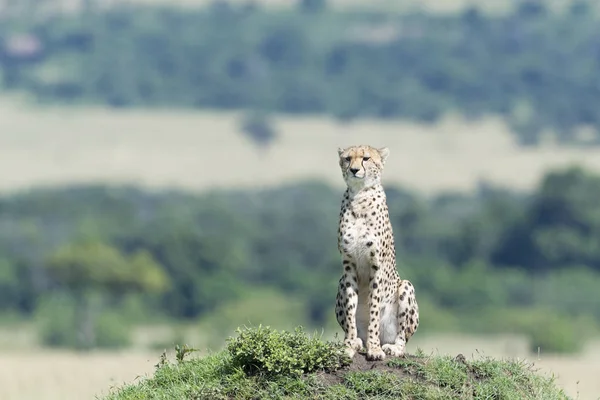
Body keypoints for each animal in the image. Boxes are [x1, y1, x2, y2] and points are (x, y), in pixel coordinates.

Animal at [336, 145, 420, 360]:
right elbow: (350, 309)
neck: (359, 197)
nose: (354, 170)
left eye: (366, 158)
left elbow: (374, 307)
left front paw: (374, 349)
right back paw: (359, 341)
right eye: (347, 158)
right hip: (340, 282)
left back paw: (391, 347)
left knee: (402, 338)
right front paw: (349, 345)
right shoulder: (348, 266)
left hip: (406, 287)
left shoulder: (377, 266)